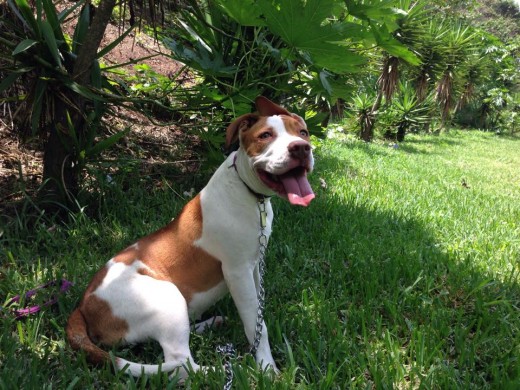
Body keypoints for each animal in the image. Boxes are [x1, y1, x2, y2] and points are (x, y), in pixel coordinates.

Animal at [67, 96, 314, 380]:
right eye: (265, 136)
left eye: (303, 132)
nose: (301, 148)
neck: (250, 193)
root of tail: (83, 305)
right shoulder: (237, 271)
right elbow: (254, 324)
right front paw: (267, 368)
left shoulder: (254, 265)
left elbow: (258, 315)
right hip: (166, 297)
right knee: (181, 362)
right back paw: (226, 369)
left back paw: (209, 325)